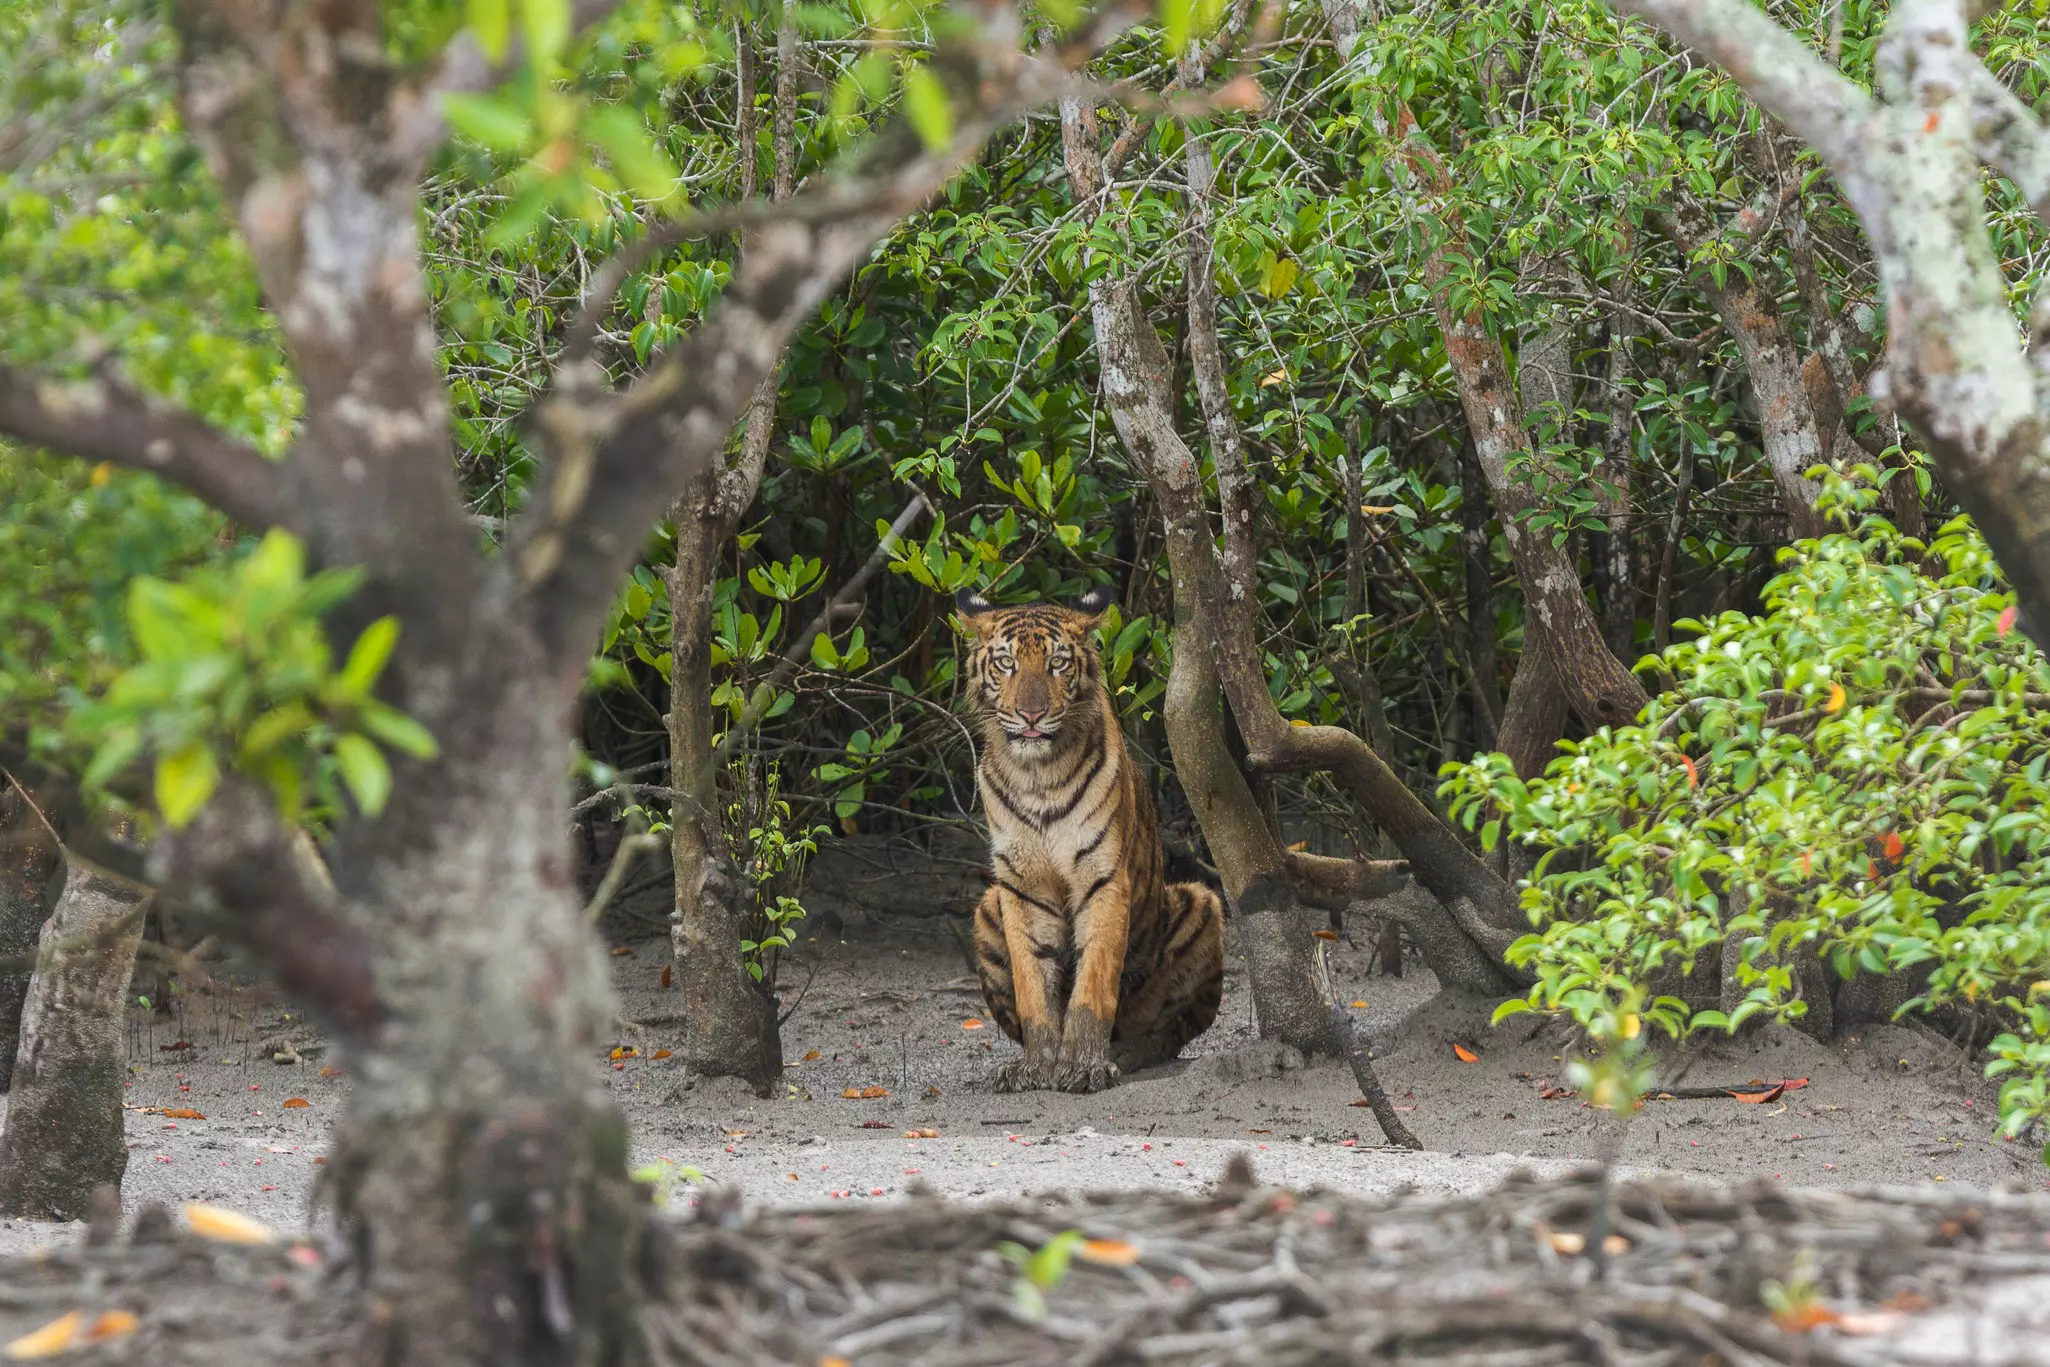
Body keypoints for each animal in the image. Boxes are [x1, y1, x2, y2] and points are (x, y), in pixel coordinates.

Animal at [955, 585, 1224, 1093]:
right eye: (1006, 663)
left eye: (1058, 663)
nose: (1032, 714)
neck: (1037, 775)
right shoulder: (1021, 888)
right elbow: (1033, 986)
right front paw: (1038, 1066)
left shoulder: (1104, 879)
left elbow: (1093, 982)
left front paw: (1084, 1065)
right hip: (986, 908)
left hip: (1200, 903)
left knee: (1172, 1031)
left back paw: (1129, 1051)